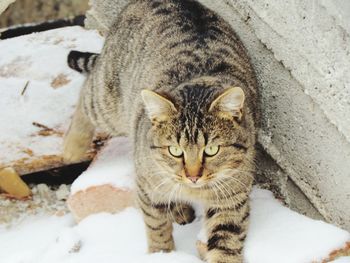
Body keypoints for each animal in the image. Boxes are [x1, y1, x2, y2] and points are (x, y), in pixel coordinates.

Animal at [64, 1, 258, 262]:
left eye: (212, 150)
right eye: (175, 150)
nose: (193, 176)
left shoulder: (231, 199)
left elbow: (226, 243)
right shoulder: (147, 186)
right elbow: (156, 225)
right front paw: (161, 253)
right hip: (108, 103)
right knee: (86, 94)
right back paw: (72, 148)